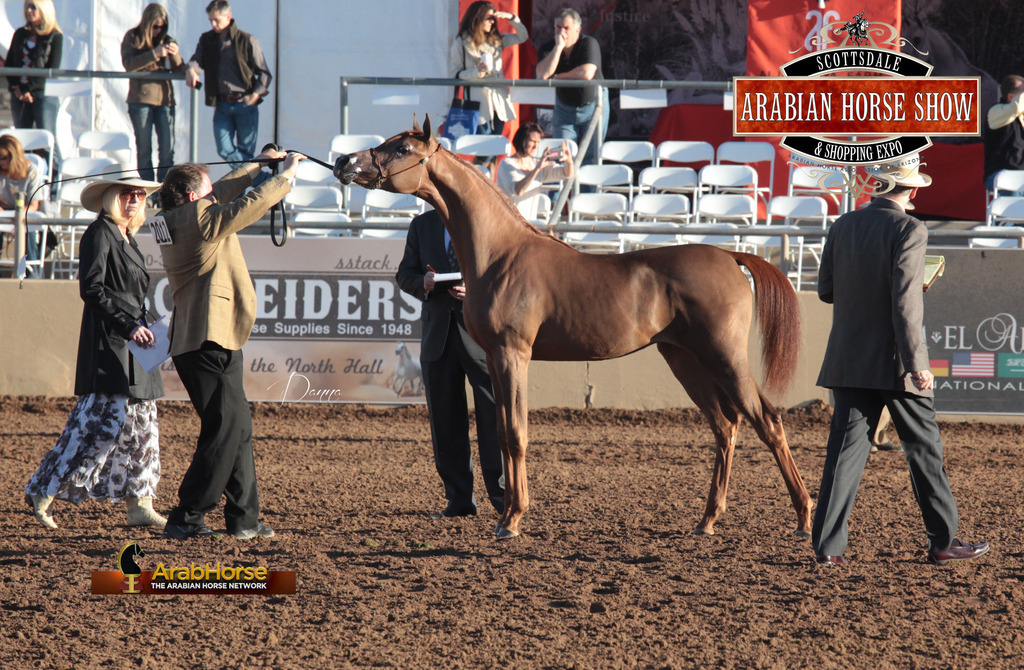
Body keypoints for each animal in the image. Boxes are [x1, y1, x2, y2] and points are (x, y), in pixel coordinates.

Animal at [334, 116, 812, 540]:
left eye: (402, 148)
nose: (344, 160)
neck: (501, 254)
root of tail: (731, 256)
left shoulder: (513, 355)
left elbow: (516, 434)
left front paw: (511, 521)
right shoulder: (495, 359)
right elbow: (504, 433)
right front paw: (507, 514)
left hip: (724, 357)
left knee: (767, 421)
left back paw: (804, 519)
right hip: (685, 360)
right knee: (725, 428)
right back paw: (707, 521)